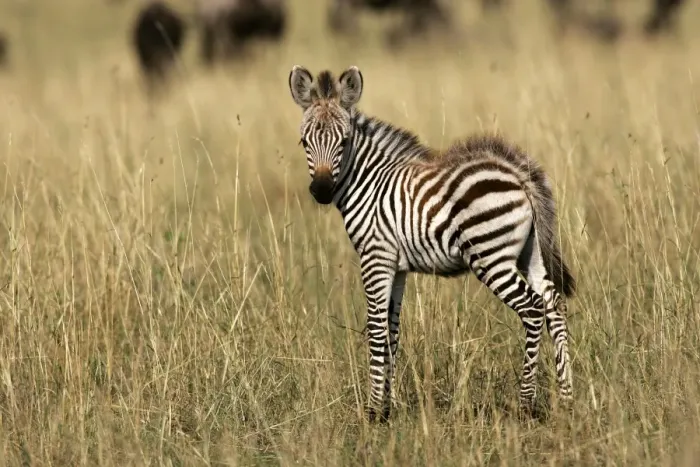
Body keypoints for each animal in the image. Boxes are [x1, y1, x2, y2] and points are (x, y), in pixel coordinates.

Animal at [288, 66, 576, 421]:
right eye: (304, 141)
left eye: (344, 141)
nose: (322, 190)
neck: (368, 183)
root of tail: (517, 174)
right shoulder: (396, 266)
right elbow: (392, 331)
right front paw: (388, 408)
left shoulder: (375, 257)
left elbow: (375, 329)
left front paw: (373, 411)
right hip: (530, 253)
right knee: (554, 306)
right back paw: (567, 399)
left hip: (490, 256)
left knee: (533, 308)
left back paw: (525, 404)